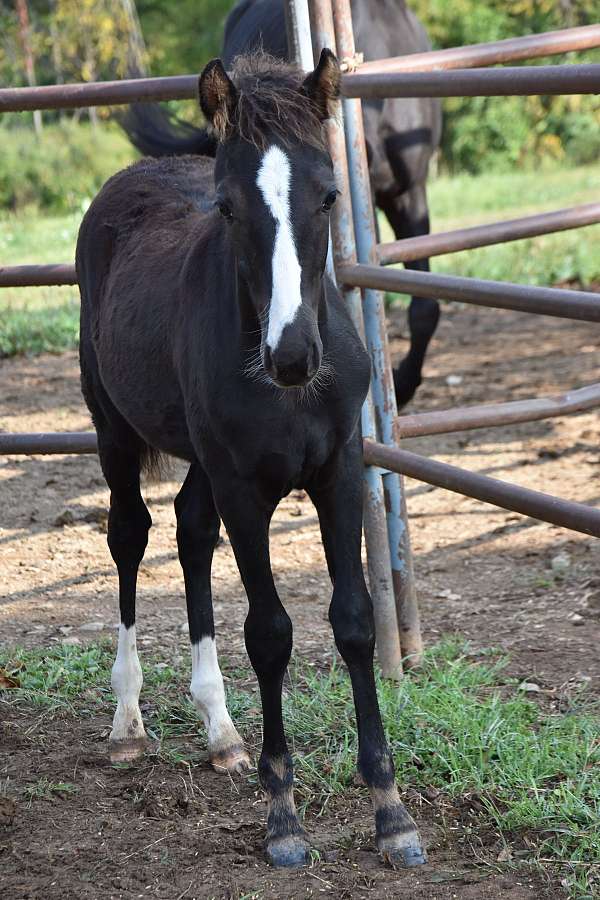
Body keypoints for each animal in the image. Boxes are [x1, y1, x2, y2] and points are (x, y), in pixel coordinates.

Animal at [78, 50, 426, 870]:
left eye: (330, 195)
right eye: (229, 207)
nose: (292, 355)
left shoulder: (340, 472)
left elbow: (354, 620)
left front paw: (391, 811)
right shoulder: (244, 488)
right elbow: (269, 634)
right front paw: (285, 819)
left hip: (203, 461)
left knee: (188, 531)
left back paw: (221, 732)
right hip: (112, 428)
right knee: (131, 536)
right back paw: (127, 722)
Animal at [123, 0, 442, 408]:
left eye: (330, 198)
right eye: (225, 208)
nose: (292, 353)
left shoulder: (409, 194)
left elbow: (425, 308)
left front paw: (400, 386)